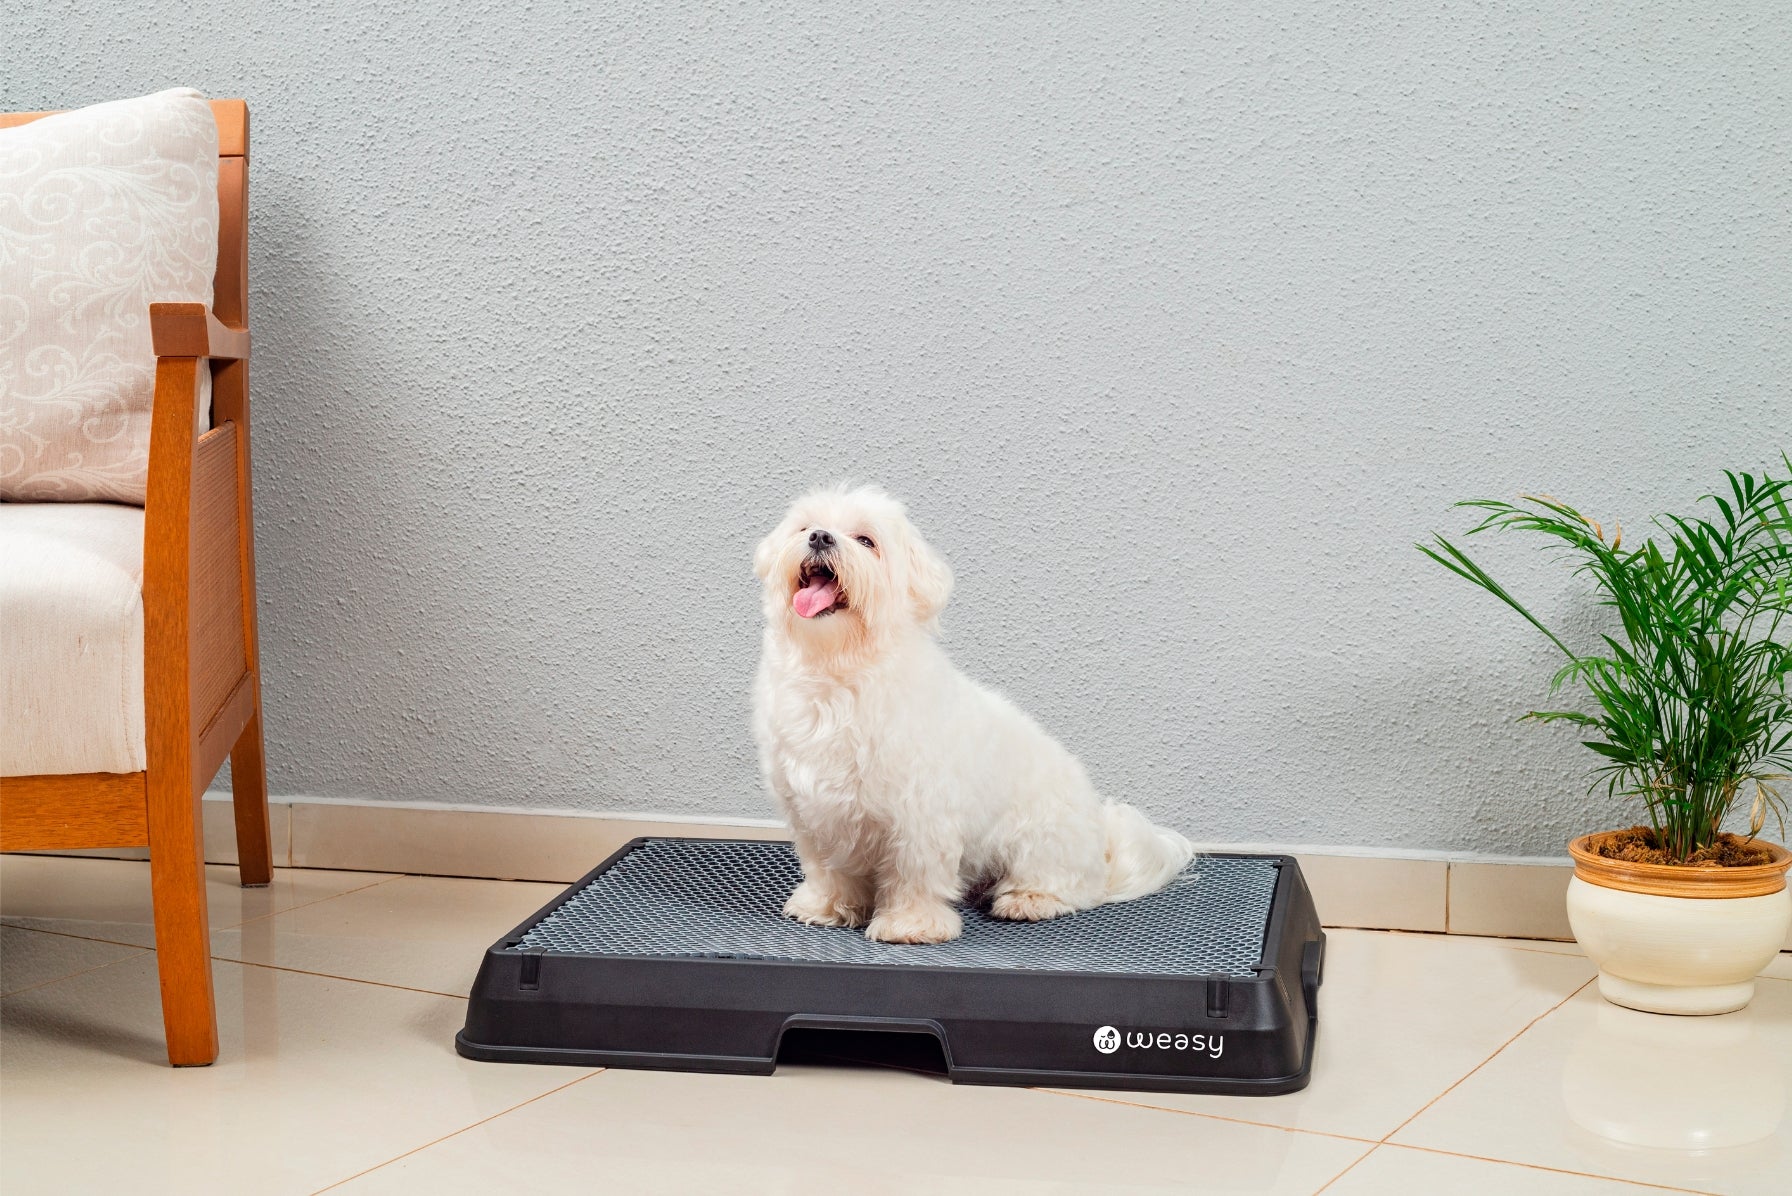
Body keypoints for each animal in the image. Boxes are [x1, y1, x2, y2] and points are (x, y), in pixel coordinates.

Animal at [749, 487, 1197, 946]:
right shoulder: (814, 812)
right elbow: (827, 868)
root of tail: (1102, 843)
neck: (837, 671)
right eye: (805, 527)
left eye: (866, 540)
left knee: (1070, 886)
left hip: (1040, 839)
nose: (821, 537)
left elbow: (916, 872)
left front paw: (912, 923)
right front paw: (827, 906)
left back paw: (1029, 899)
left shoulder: (920, 811)